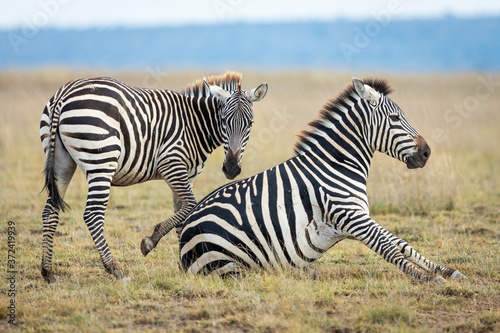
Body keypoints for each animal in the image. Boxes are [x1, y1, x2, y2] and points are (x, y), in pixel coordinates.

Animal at [40, 71, 268, 282]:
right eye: (223, 120)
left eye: (250, 123)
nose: (231, 168)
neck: (193, 125)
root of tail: (64, 94)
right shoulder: (171, 164)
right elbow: (190, 207)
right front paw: (151, 242)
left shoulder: (185, 175)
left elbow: (183, 214)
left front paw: (184, 261)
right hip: (101, 161)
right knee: (92, 214)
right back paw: (115, 269)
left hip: (62, 161)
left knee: (50, 211)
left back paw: (48, 271)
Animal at [179, 78, 464, 280]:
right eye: (395, 118)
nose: (426, 152)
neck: (336, 165)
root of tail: (182, 236)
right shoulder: (351, 216)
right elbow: (387, 246)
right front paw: (426, 277)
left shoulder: (360, 215)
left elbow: (401, 243)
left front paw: (446, 271)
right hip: (231, 261)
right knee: (252, 273)